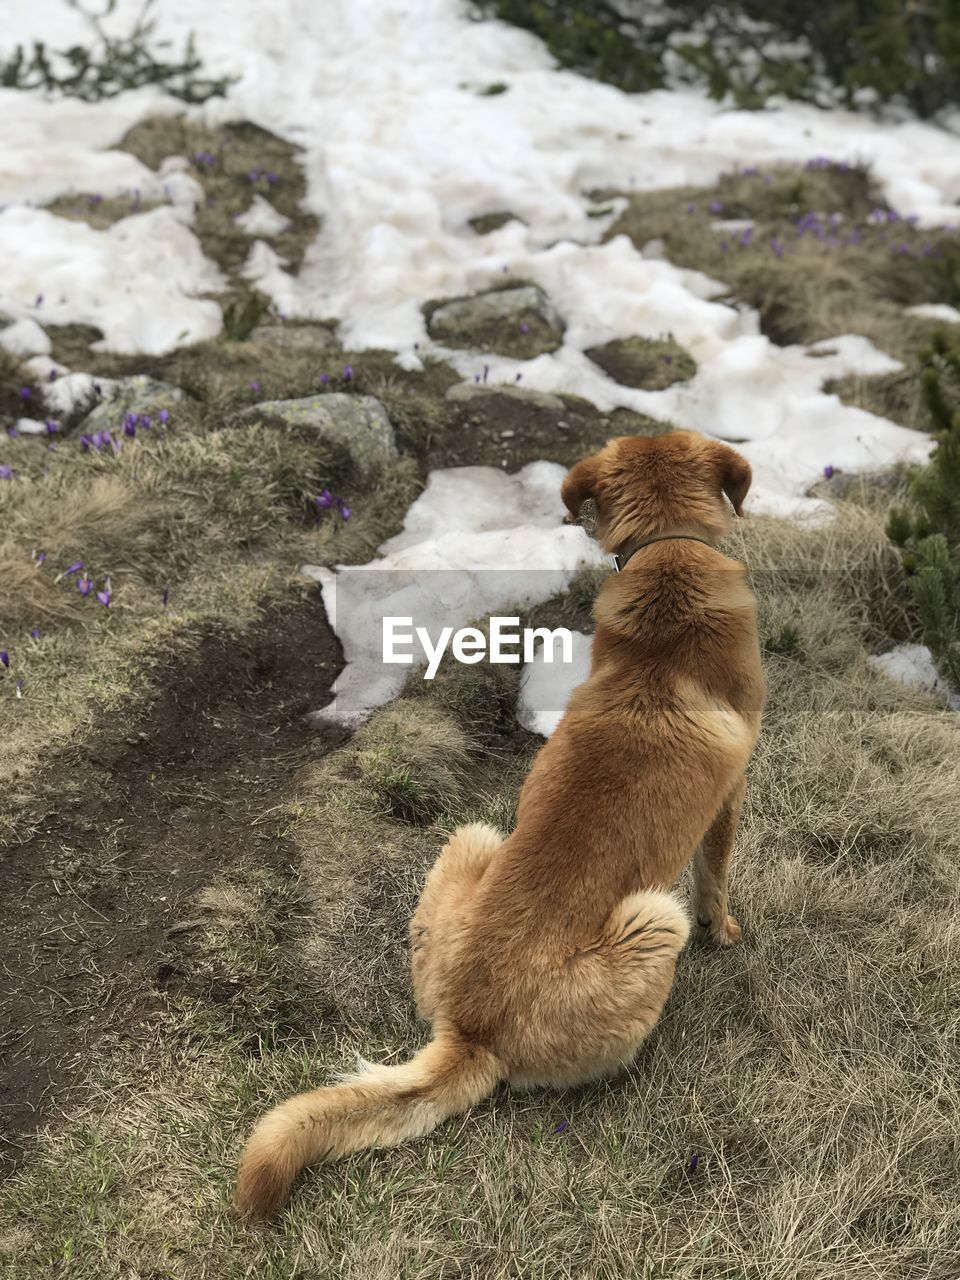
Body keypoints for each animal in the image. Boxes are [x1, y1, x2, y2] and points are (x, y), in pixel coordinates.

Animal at [239, 432, 768, 1218]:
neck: (667, 552)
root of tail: (470, 1029)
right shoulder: (729, 796)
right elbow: (717, 878)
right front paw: (724, 934)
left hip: (475, 838)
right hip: (651, 920)